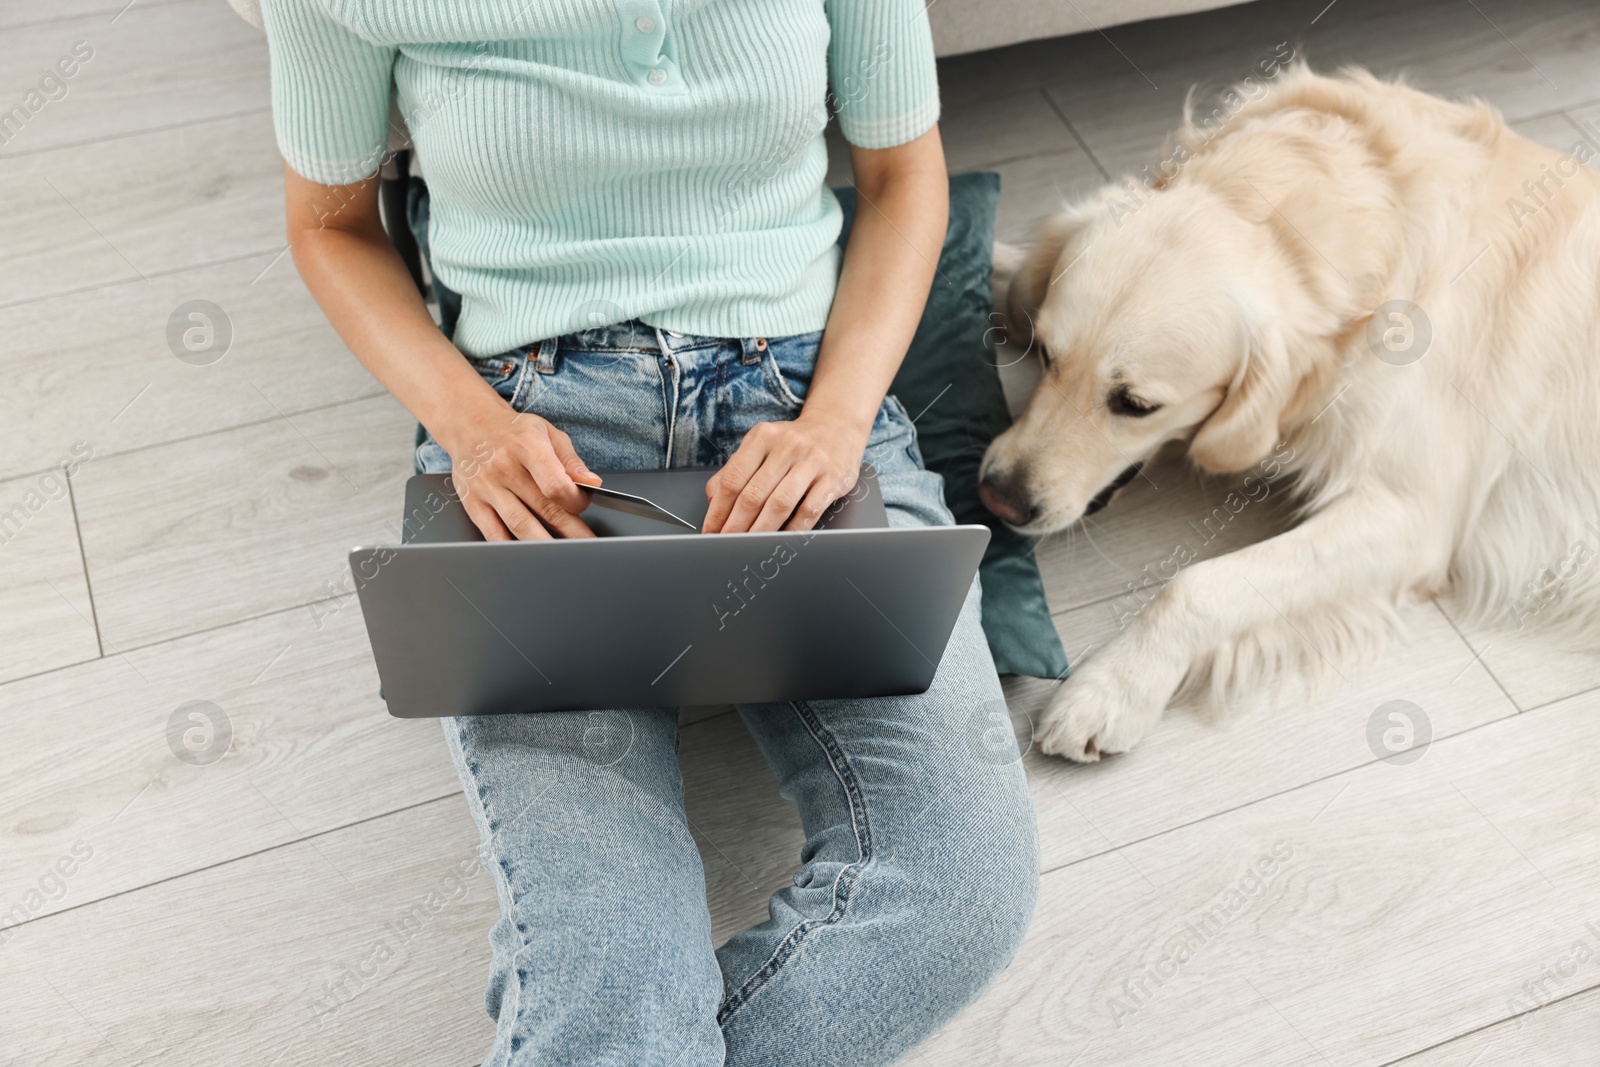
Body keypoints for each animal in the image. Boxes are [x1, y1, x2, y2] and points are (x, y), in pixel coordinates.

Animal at [979, 64, 1600, 758]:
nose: (999, 498)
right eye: (1046, 354)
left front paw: (1112, 687)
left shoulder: (1411, 516)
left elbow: (1199, 584)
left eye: (1135, 405)